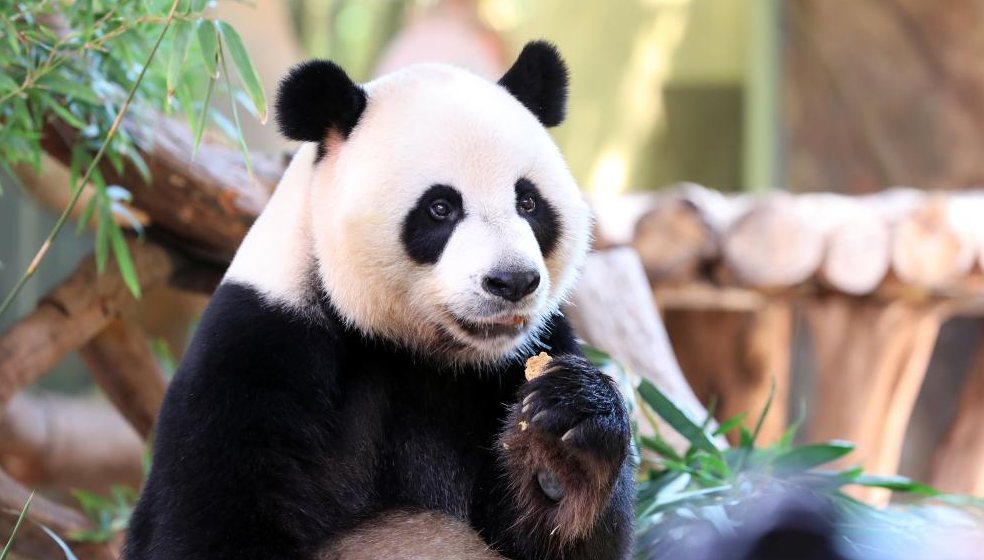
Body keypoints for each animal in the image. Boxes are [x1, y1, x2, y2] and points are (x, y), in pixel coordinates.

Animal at [123, 41, 634, 560]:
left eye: (528, 203)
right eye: (440, 208)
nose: (512, 281)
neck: (419, 351)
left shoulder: (532, 351)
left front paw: (563, 449)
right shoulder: (254, 351)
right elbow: (208, 528)